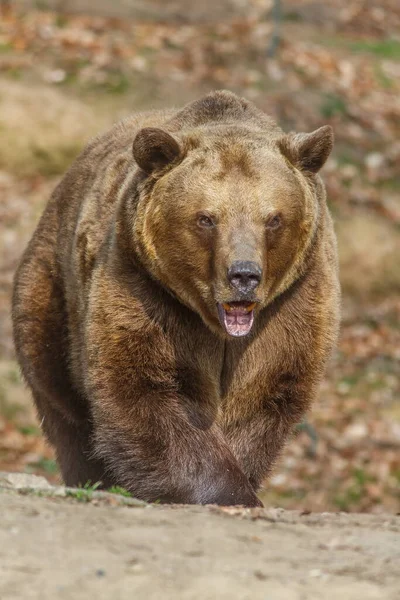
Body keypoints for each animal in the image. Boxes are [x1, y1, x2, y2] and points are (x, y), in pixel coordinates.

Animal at [10, 91, 340, 506]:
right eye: (207, 218)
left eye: (273, 218)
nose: (244, 275)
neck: (215, 326)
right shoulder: (147, 288)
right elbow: (146, 386)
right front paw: (228, 491)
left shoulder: (291, 303)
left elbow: (264, 389)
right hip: (52, 293)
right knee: (64, 401)